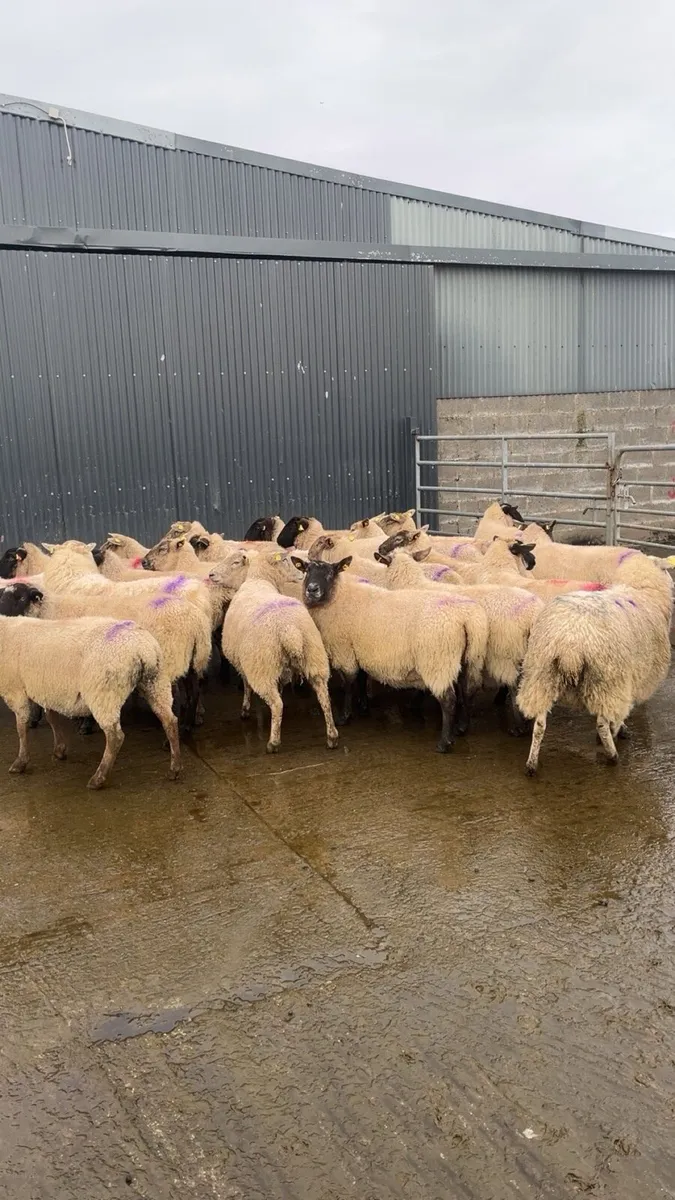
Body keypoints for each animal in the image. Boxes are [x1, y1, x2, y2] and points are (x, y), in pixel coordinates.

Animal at [0, 584, 180, 788]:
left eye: (20, 598)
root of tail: (141, 647)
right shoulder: (47, 688)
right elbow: (52, 718)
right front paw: (59, 750)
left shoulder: (14, 689)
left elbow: (21, 727)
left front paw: (20, 762)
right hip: (156, 681)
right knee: (170, 721)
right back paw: (174, 768)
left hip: (104, 692)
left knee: (115, 736)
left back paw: (98, 778)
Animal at [221, 553, 338, 753]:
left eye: (235, 562)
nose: (211, 575)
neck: (257, 579)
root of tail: (290, 631)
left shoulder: (244, 664)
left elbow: (246, 685)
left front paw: (245, 709)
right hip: (314, 658)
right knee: (325, 698)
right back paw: (332, 737)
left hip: (263, 667)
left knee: (277, 704)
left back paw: (273, 742)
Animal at [291, 556, 489, 752]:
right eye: (306, 570)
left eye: (330, 573)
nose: (312, 589)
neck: (338, 596)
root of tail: (466, 618)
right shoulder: (360, 650)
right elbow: (361, 678)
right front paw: (363, 706)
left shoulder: (344, 650)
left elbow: (349, 683)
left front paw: (345, 716)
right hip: (468, 659)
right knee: (467, 691)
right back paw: (461, 727)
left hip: (437, 660)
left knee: (448, 700)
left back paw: (444, 743)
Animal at [517, 554, 673, 774]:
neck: (642, 591)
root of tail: (569, 644)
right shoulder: (633, 676)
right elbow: (620, 713)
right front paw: (620, 729)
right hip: (606, 678)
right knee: (601, 722)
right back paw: (613, 755)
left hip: (541, 674)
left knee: (539, 724)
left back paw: (531, 764)